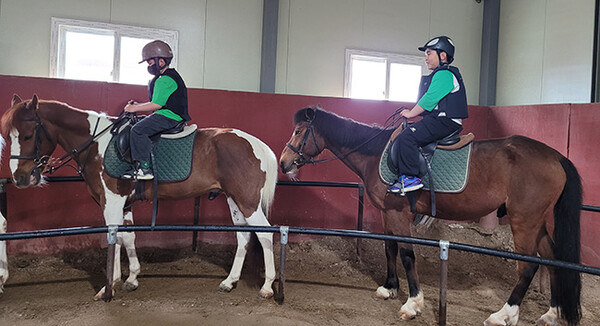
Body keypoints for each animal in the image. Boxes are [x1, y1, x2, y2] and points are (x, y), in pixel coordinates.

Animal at [1, 95, 278, 302]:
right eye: (7, 137)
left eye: (27, 135)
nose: (20, 178)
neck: (97, 144)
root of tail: (257, 144)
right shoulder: (124, 204)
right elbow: (128, 237)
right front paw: (132, 278)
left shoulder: (111, 201)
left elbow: (113, 236)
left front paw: (109, 286)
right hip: (234, 200)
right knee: (243, 237)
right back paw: (229, 282)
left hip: (248, 202)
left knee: (265, 234)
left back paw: (267, 286)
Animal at [280, 107, 580, 326]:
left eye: (298, 131)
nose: (284, 163)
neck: (376, 153)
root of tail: (556, 156)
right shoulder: (387, 214)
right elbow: (389, 248)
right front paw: (389, 287)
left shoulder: (399, 213)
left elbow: (407, 254)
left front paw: (413, 303)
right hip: (536, 222)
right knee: (553, 260)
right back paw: (552, 313)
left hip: (524, 221)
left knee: (527, 266)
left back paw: (504, 314)